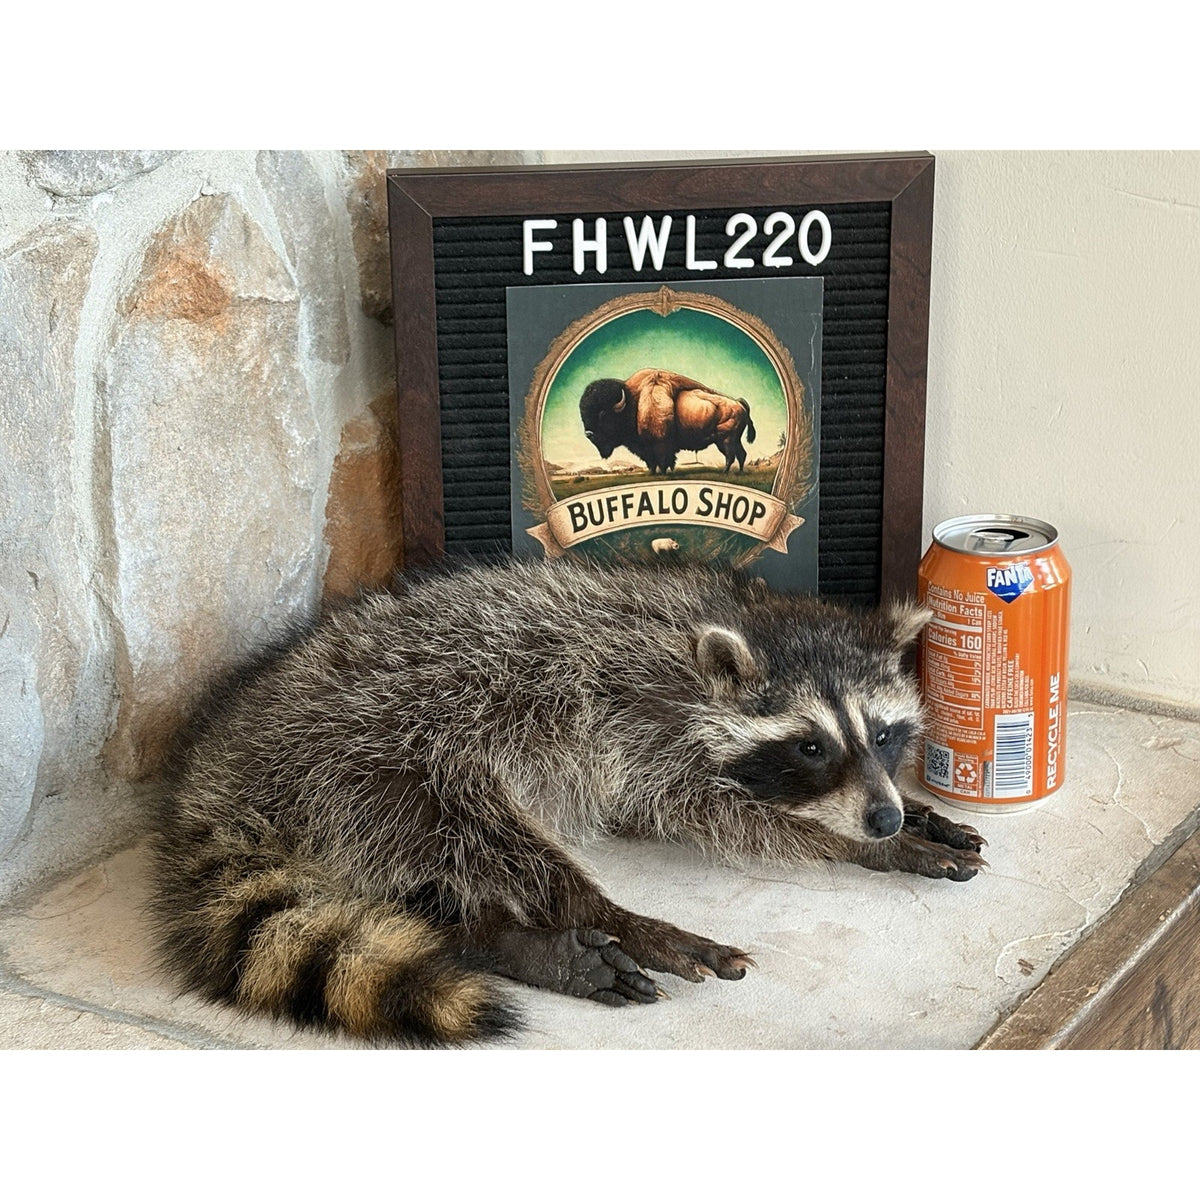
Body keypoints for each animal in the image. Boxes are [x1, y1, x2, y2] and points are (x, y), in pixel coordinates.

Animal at [148, 557, 985, 1046]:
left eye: (885, 734)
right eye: (812, 746)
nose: (883, 816)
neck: (742, 617)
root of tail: (218, 765)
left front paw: (911, 819)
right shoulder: (639, 725)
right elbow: (720, 814)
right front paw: (870, 842)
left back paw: (481, 934)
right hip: (382, 752)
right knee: (490, 839)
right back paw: (591, 922)